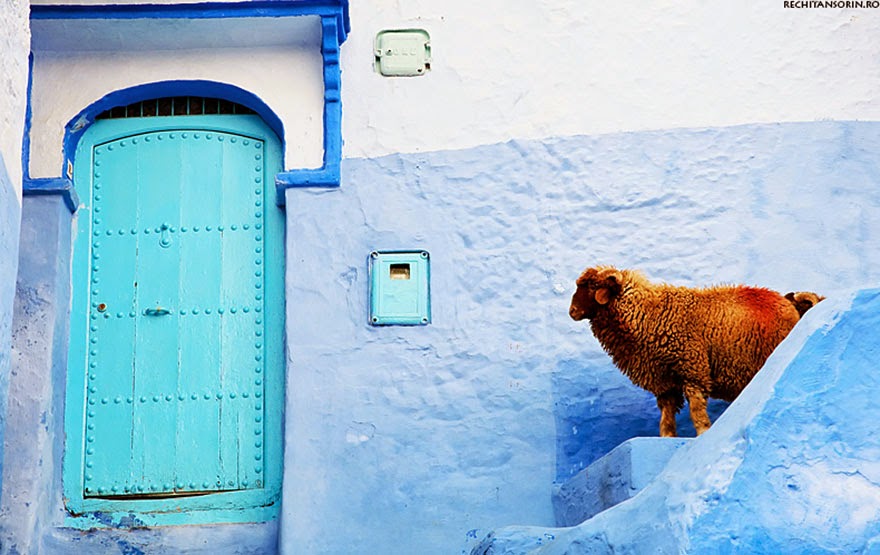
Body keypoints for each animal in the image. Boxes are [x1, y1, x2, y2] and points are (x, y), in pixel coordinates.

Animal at [572, 266, 804, 438]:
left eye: (592, 286)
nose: (572, 311)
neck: (647, 313)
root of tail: (784, 301)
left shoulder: (692, 368)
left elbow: (696, 408)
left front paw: (703, 432)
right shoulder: (664, 381)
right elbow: (666, 414)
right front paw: (667, 436)